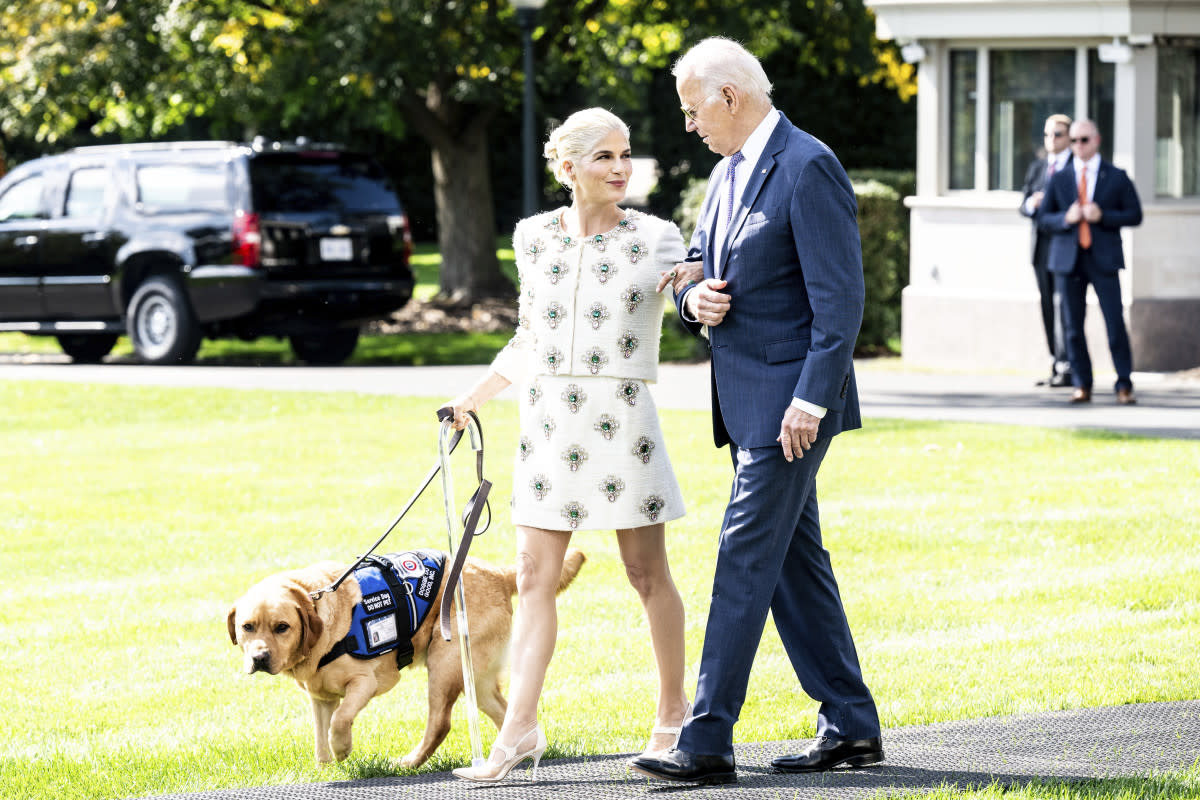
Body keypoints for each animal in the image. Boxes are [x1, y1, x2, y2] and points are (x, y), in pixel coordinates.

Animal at [228, 546, 585, 767]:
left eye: (282, 627)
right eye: (248, 627)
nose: (260, 658)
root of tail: (497, 572)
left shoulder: (366, 682)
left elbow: (341, 720)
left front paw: (342, 748)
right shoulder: (320, 697)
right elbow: (320, 735)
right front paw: (326, 765)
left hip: (444, 662)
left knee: (440, 723)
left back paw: (411, 762)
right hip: (476, 677)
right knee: (504, 711)